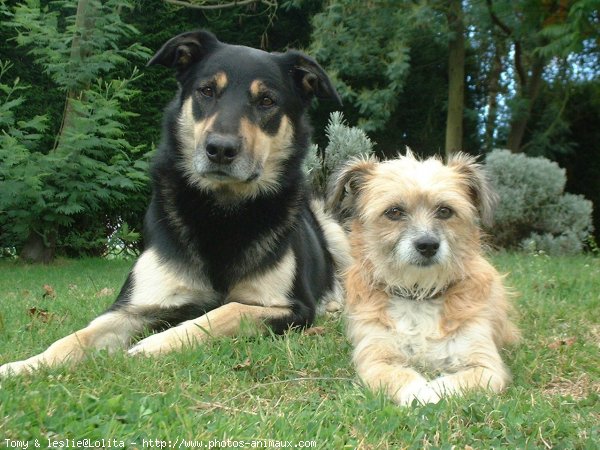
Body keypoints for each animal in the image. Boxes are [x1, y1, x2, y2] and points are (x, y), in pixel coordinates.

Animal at [0, 30, 350, 376]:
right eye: (207, 91)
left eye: (266, 101)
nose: (220, 149)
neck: (221, 214)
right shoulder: (134, 306)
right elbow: (78, 336)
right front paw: (24, 365)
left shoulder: (290, 308)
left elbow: (224, 313)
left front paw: (152, 345)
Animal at [328, 150, 520, 404]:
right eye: (394, 212)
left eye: (445, 211)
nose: (428, 245)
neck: (418, 294)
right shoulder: (374, 360)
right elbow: (401, 376)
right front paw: (419, 393)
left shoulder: (487, 366)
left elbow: (452, 382)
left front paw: (432, 392)